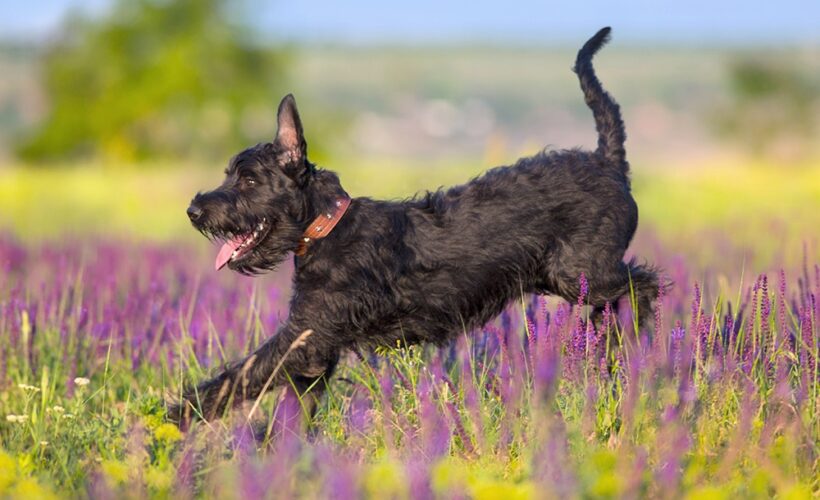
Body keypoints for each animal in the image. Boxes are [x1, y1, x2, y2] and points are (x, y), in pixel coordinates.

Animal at [173, 27, 660, 426]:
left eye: (249, 180)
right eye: (229, 174)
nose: (194, 210)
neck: (326, 227)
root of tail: (609, 162)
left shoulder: (304, 335)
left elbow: (241, 374)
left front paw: (177, 414)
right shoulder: (315, 349)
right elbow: (289, 408)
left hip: (581, 271)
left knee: (645, 284)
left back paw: (624, 340)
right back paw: (606, 343)